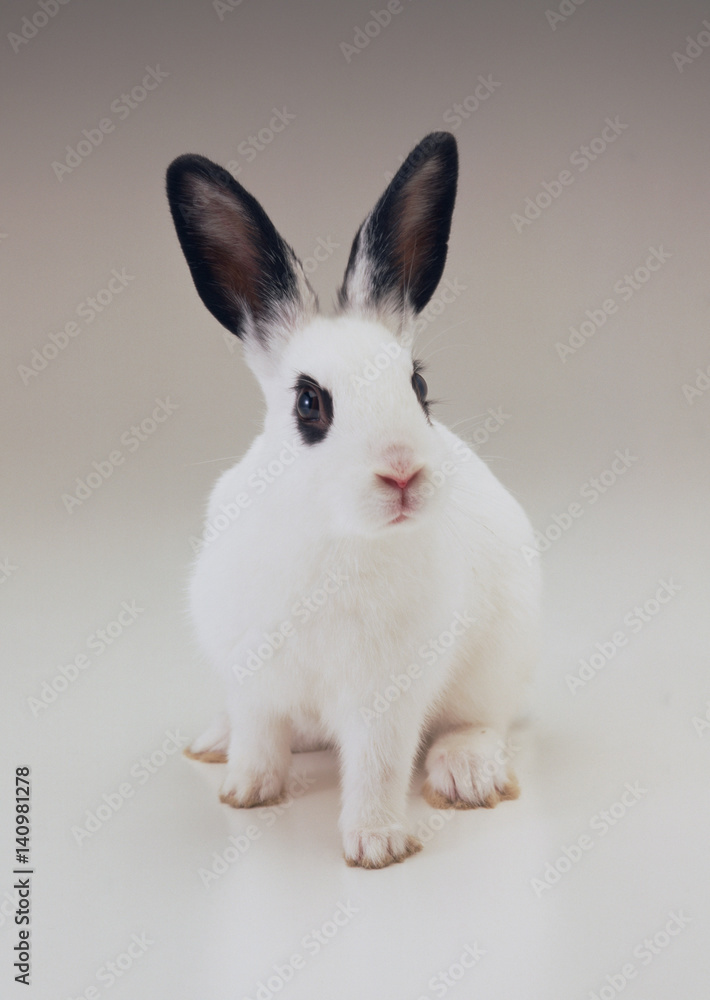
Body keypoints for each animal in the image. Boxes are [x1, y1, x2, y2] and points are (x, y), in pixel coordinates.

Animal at [166, 131, 541, 869]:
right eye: (310, 403)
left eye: (417, 386)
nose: (402, 474)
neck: (336, 535)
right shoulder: (254, 677)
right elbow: (260, 737)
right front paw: (246, 792)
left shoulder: (385, 697)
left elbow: (378, 766)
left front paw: (377, 845)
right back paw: (211, 744)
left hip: (498, 662)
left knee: (480, 722)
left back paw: (467, 775)